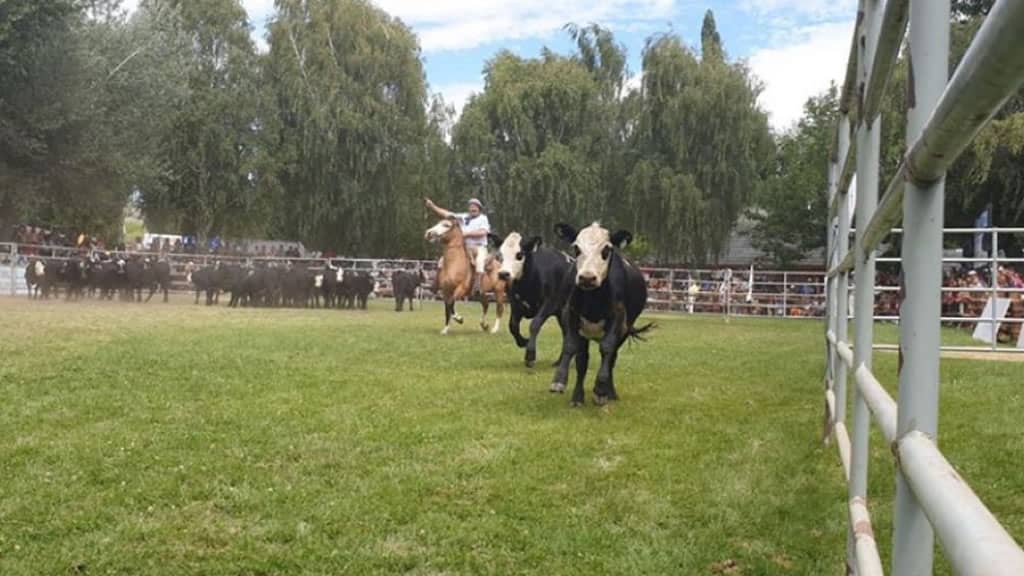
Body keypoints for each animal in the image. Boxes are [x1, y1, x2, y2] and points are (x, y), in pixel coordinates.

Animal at [489, 230, 577, 364]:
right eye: (499, 255)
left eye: (519, 255)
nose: (504, 274)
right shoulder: (516, 305)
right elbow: (512, 326)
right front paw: (523, 342)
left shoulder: (550, 303)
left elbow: (535, 324)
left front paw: (530, 355)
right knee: (566, 332)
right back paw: (559, 362)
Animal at [548, 219, 651, 403]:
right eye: (576, 248)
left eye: (606, 249)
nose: (587, 278)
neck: (593, 301)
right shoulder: (570, 314)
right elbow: (570, 346)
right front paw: (559, 381)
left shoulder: (618, 318)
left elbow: (607, 349)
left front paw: (600, 389)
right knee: (582, 361)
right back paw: (578, 397)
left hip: (624, 331)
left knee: (611, 359)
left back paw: (609, 393)